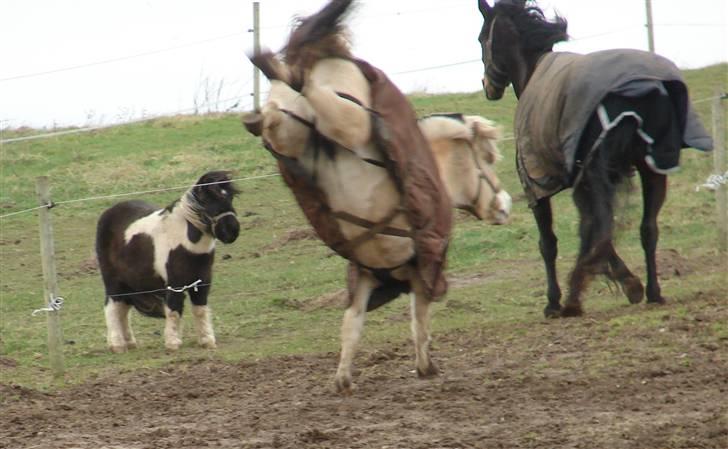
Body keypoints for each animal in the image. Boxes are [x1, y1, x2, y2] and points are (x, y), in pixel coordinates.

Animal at [94, 170, 239, 352]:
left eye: (230, 197)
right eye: (207, 198)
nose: (231, 231)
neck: (187, 244)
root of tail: (108, 213)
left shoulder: (202, 282)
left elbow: (200, 309)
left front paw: (207, 341)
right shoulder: (174, 284)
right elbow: (174, 310)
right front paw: (173, 343)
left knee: (123, 309)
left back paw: (130, 343)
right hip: (113, 281)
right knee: (112, 307)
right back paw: (117, 345)